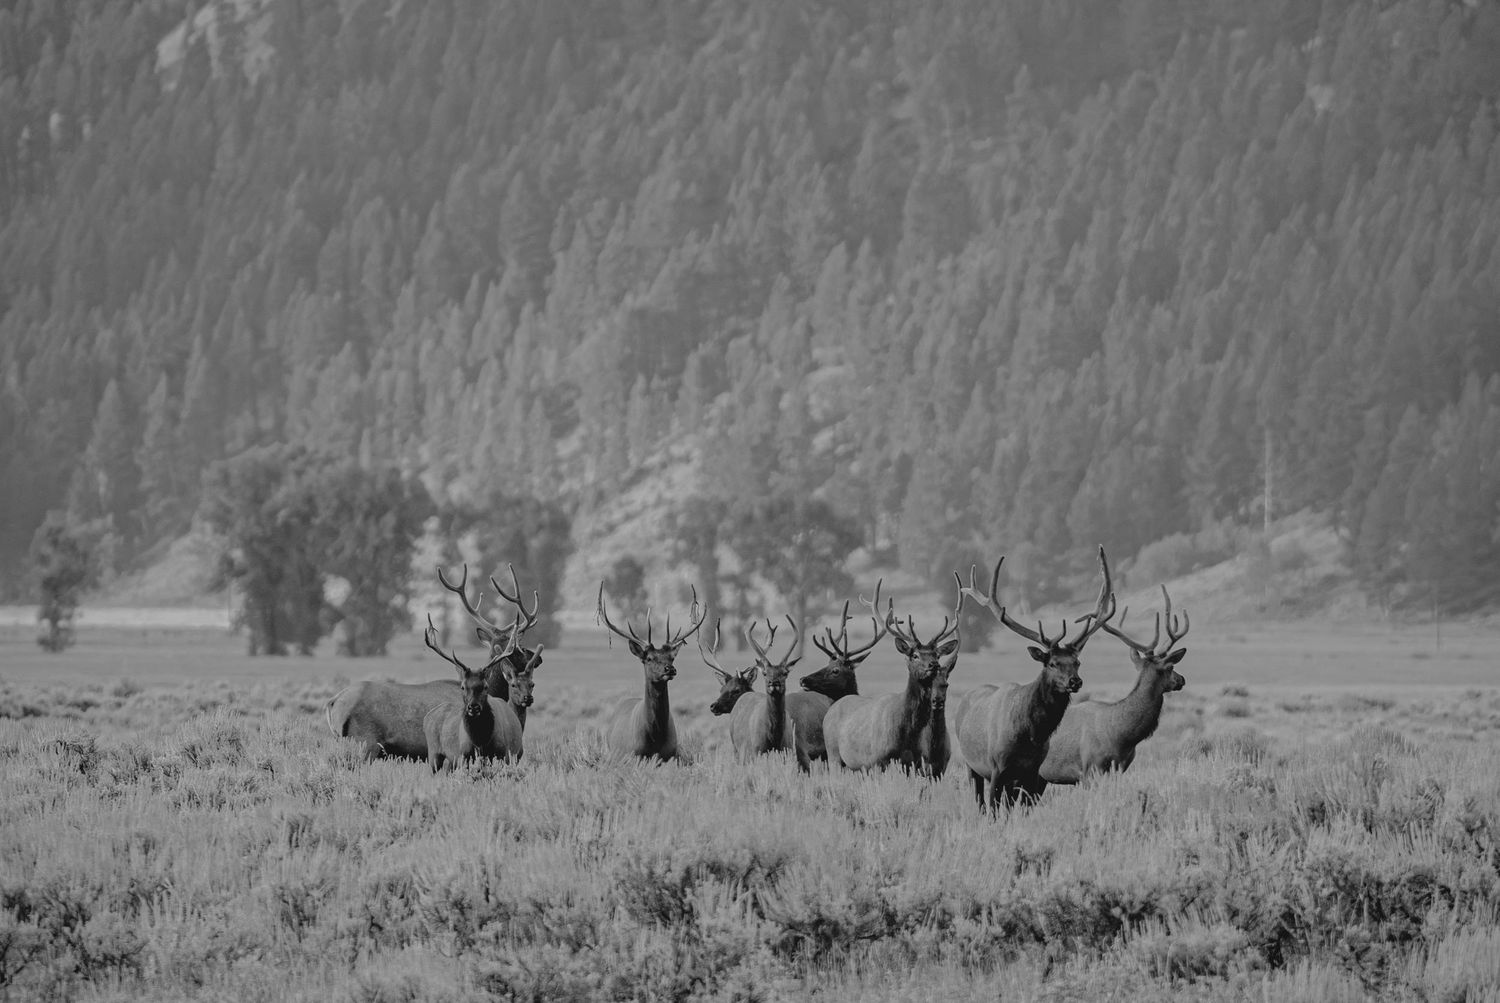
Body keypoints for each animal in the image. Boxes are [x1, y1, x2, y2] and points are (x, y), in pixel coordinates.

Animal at [421, 615, 541, 773]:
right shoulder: (464, 757)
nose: (474, 707)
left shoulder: (503, 755)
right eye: (462, 687)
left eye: (485, 687)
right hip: (434, 754)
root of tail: (427, 716)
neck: (480, 741)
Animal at [597, 580, 705, 762]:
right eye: (649, 658)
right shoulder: (633, 755)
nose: (670, 669)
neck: (654, 738)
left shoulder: (671, 755)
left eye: (671, 658)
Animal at [701, 615, 808, 769]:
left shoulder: (787, 750)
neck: (773, 737)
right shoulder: (753, 751)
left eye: (785, 673)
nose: (713, 706)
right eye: (721, 689)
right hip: (737, 748)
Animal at [821, 580, 962, 773]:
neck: (908, 733)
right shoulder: (878, 759)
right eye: (915, 655)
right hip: (833, 753)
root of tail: (832, 709)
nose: (934, 665)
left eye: (936, 655)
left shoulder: (916, 762)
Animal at [952, 546, 1116, 811]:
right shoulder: (997, 768)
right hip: (971, 765)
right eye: (1052, 663)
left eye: (1077, 662)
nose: (1075, 682)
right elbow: (994, 809)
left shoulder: (1032, 772)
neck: (1031, 736)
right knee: (980, 802)